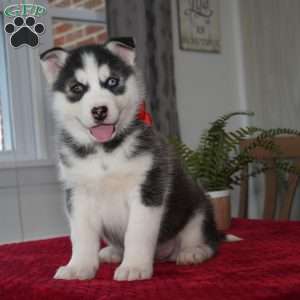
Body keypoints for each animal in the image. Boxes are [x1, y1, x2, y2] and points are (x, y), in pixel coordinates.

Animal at [40, 37, 220, 282]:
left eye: (112, 81)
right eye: (77, 88)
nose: (99, 110)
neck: (105, 151)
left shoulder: (148, 188)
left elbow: (137, 232)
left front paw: (134, 266)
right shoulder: (78, 194)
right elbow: (81, 236)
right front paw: (78, 267)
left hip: (199, 209)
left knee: (206, 240)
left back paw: (193, 252)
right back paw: (112, 252)